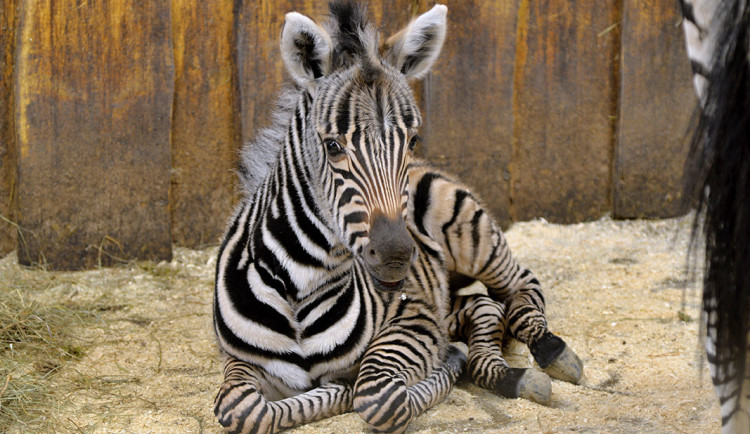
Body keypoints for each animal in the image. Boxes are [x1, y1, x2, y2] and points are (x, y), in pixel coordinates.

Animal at [213, 2, 583, 433]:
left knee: (521, 284)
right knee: (484, 307)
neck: (300, 282)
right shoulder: (239, 361)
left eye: (412, 141)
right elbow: (240, 407)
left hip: (471, 235)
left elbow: (380, 397)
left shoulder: (413, 318)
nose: (396, 257)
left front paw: (436, 367)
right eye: (333, 146)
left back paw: (548, 351)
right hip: (448, 292)